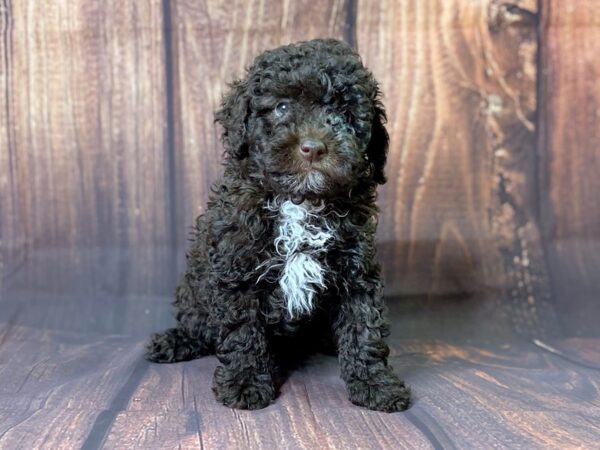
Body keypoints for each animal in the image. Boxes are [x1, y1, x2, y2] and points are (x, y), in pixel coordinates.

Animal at [146, 37, 412, 412]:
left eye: (345, 114)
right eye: (282, 107)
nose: (313, 148)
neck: (299, 200)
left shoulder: (357, 269)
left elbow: (364, 326)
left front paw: (376, 383)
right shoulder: (236, 271)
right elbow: (242, 331)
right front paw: (245, 383)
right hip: (193, 290)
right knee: (198, 324)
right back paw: (174, 341)